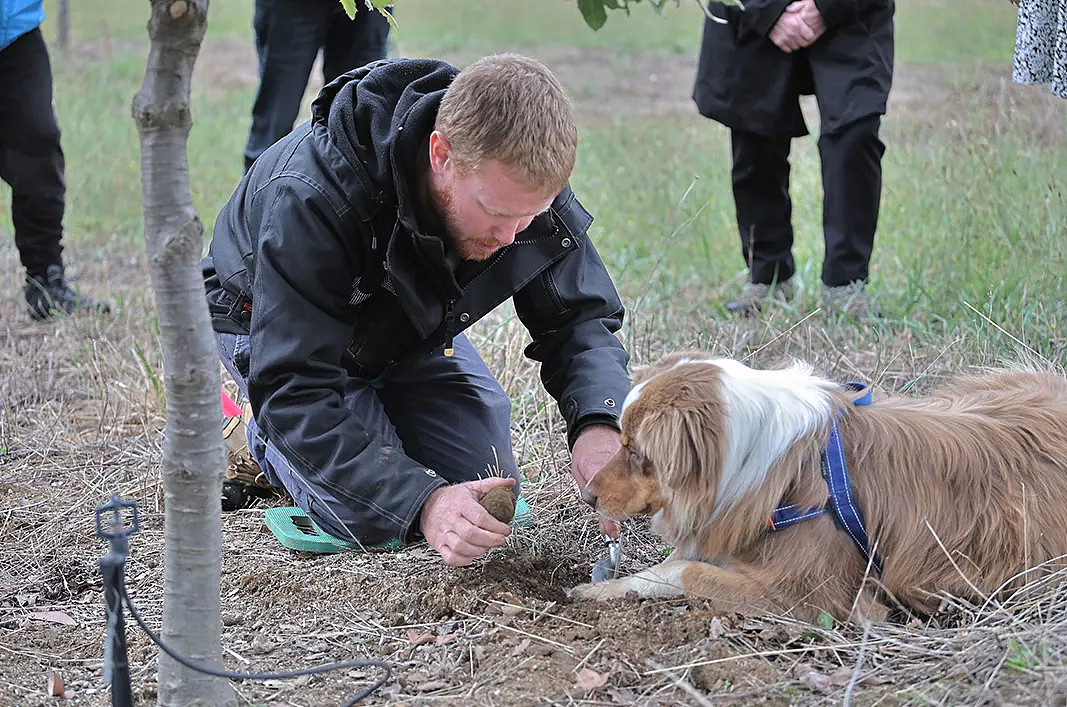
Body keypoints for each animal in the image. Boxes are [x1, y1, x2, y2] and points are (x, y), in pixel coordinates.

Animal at [571, 356, 1067, 622]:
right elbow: (670, 565)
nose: (589, 495)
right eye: (620, 441)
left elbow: (687, 572)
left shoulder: (813, 597)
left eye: (636, 450)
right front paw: (602, 590)